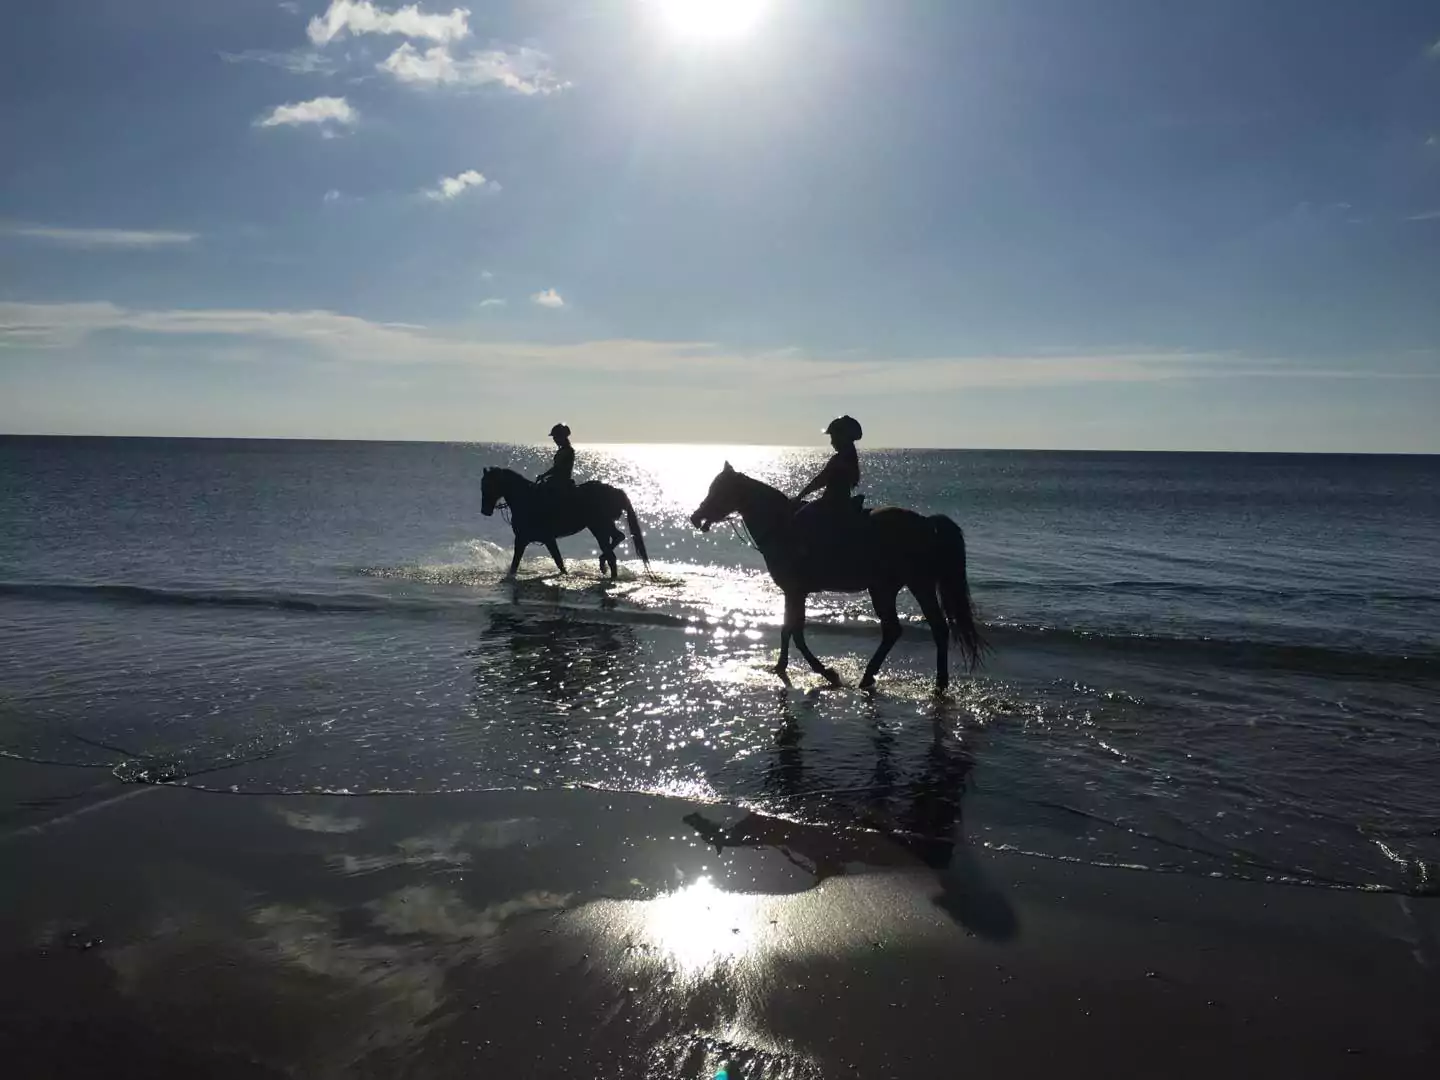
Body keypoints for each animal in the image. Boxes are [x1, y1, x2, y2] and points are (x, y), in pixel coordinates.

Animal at [480, 467, 650, 579]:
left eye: (489, 485)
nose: (485, 511)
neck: (526, 498)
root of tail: (616, 491)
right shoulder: (546, 539)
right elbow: (559, 562)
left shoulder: (524, 539)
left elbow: (516, 563)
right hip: (603, 526)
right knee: (616, 540)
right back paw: (604, 566)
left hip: (599, 527)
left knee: (611, 554)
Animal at [689, 463, 985, 692]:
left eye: (720, 491)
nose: (696, 517)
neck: (781, 526)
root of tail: (926, 522)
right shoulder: (793, 592)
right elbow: (788, 629)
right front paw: (781, 666)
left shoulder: (795, 591)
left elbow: (795, 632)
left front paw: (826, 672)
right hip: (900, 586)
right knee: (917, 629)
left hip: (902, 586)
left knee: (916, 629)